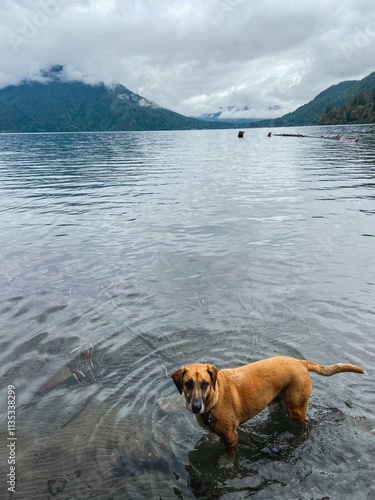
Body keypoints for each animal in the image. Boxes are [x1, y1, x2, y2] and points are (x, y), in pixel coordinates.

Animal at [172, 356, 366, 450]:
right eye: (188, 383)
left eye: (205, 384)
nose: (195, 407)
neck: (215, 397)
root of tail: (301, 362)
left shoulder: (231, 437)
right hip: (275, 404)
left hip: (296, 410)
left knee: (306, 422)